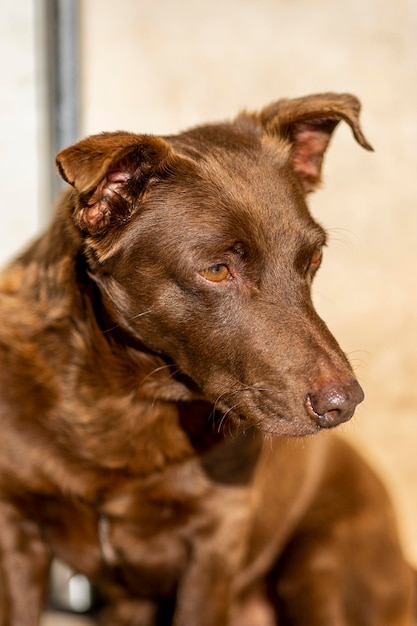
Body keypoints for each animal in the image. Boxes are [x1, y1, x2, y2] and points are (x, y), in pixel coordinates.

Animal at [0, 94, 412, 624]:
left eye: (313, 260)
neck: (125, 402)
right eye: (217, 270)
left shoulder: (215, 545)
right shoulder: (17, 532)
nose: (345, 403)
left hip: (321, 564)